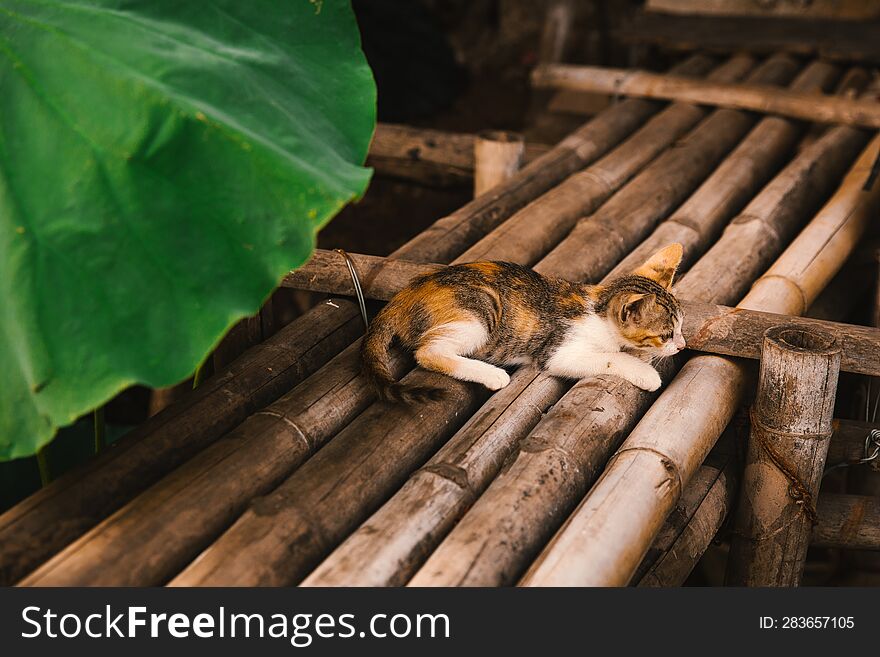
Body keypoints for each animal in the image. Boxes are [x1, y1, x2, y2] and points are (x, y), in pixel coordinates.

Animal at [360, 243, 684, 402]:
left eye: (681, 327)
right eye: (666, 334)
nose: (681, 346)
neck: (599, 311)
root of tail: (404, 294)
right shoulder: (557, 352)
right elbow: (610, 358)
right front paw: (645, 371)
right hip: (481, 308)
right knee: (427, 352)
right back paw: (491, 374)